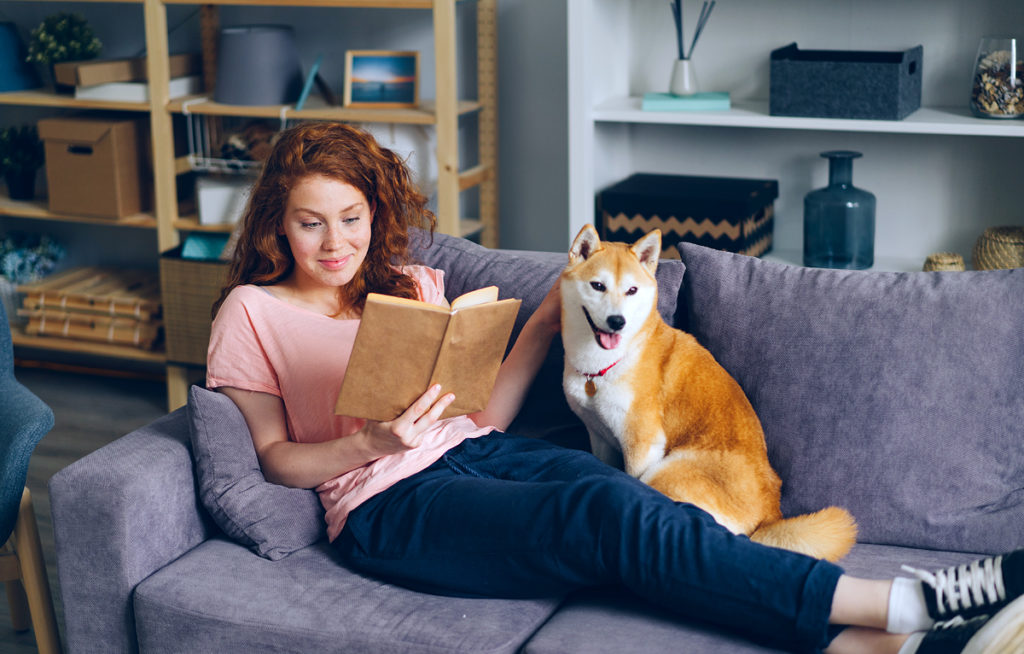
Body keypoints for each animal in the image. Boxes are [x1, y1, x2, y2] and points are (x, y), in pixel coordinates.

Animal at [561, 226, 856, 564]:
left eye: (632, 291)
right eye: (598, 286)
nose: (617, 321)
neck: (603, 366)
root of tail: (770, 516)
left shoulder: (642, 441)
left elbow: (632, 478)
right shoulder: (598, 436)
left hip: (666, 472)